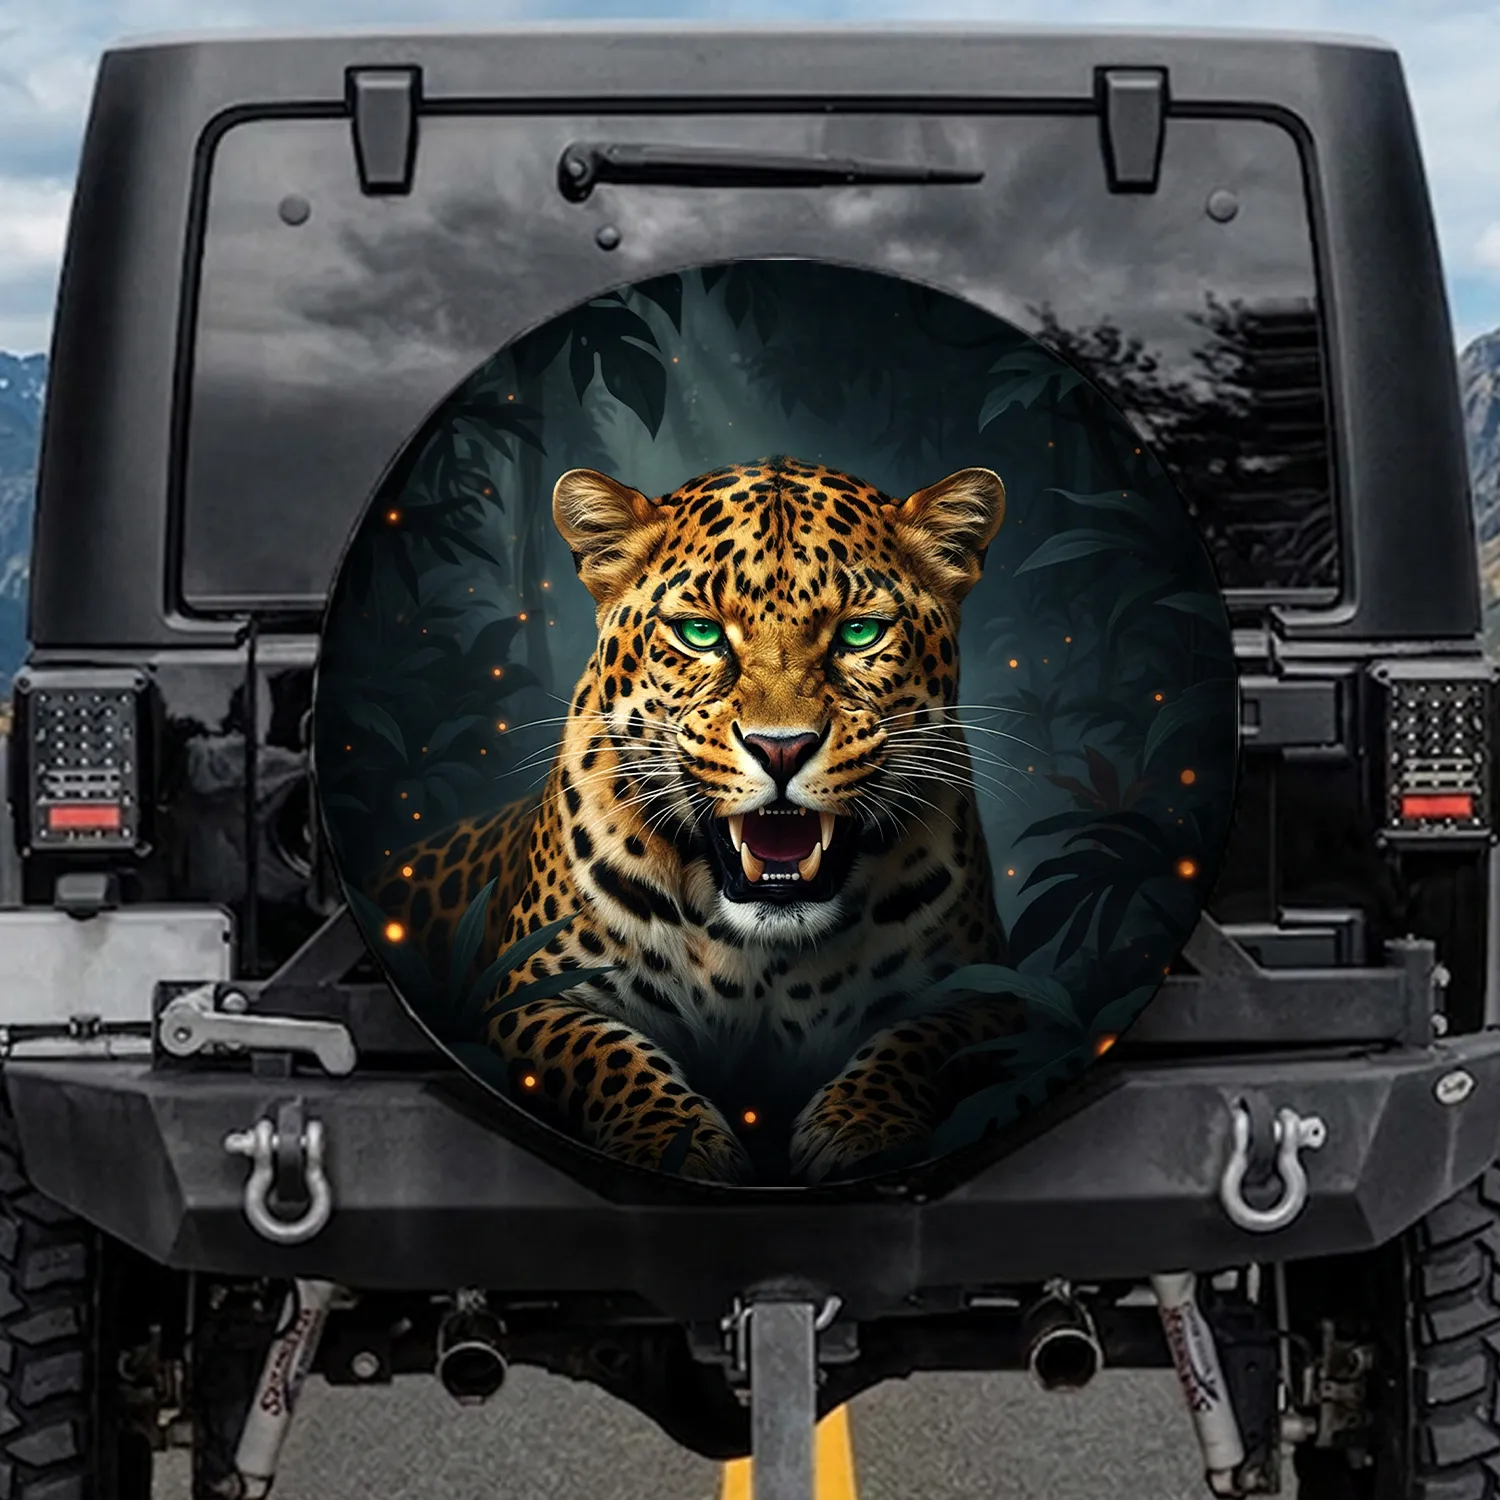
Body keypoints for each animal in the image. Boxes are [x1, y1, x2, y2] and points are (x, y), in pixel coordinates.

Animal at [371, 456, 1025, 1185]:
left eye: (860, 633)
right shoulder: (528, 992)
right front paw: (676, 1142)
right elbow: (606, 1055)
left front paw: (862, 1127)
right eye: (700, 634)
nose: (781, 747)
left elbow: (915, 1042)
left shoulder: (987, 991)